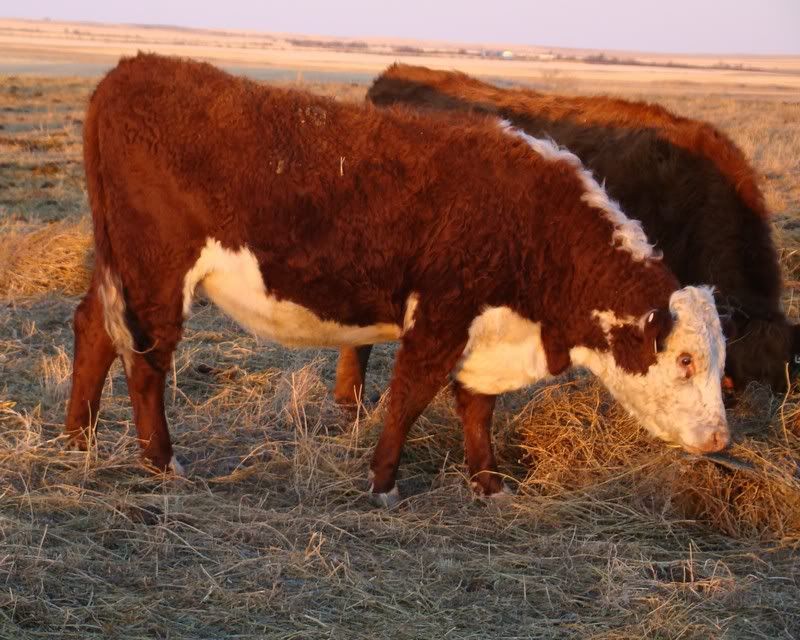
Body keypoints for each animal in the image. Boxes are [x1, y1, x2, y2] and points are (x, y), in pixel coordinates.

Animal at [65, 54, 729, 505]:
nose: (721, 439)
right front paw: (383, 482)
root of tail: (129, 70)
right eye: (686, 360)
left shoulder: (486, 329)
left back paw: (78, 441)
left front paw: (488, 484)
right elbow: (410, 395)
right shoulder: (440, 315)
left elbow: (477, 407)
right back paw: (160, 463)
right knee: (146, 361)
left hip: (122, 267)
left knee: (93, 330)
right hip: (156, 274)